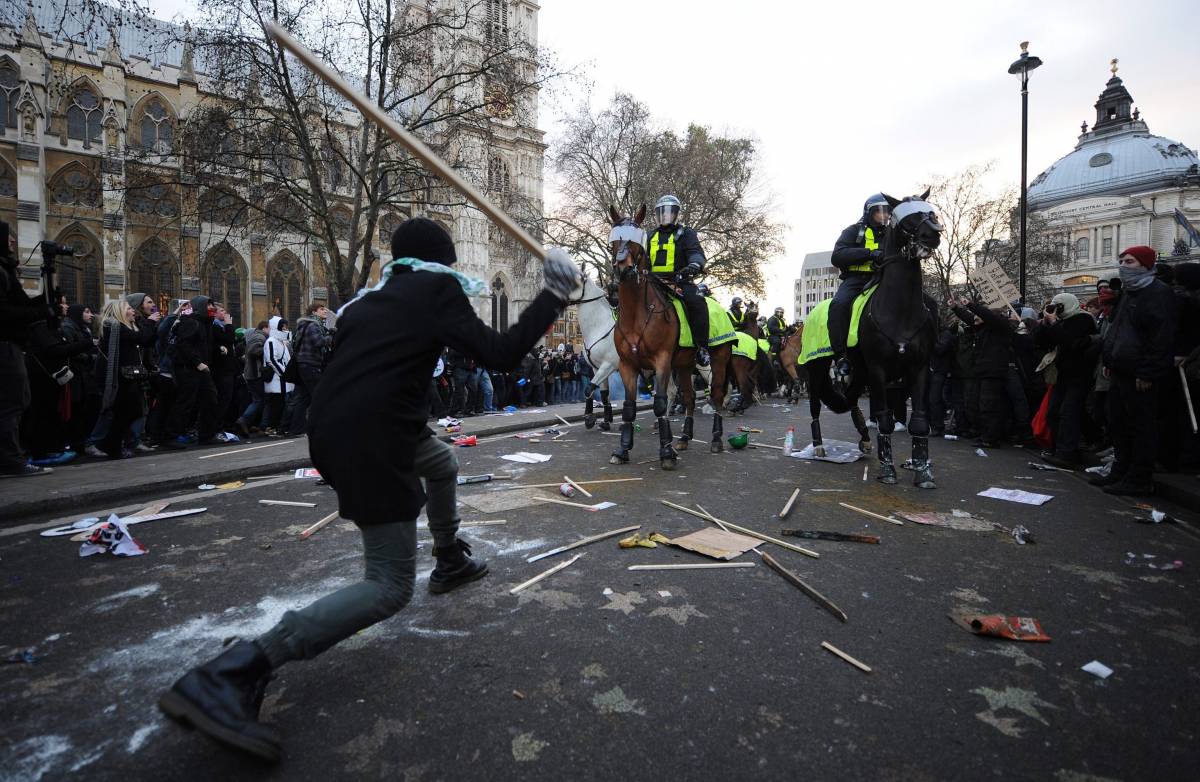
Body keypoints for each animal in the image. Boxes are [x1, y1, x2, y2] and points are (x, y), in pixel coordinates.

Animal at [566, 274, 619, 431]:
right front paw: (603, 420)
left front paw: (590, 418)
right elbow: (602, 394)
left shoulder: (609, 365)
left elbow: (588, 389)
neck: (599, 326)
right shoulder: (597, 368)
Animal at [609, 205, 729, 467]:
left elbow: (661, 403)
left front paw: (665, 452)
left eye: (636, 242)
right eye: (614, 240)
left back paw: (716, 439)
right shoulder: (627, 365)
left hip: (718, 360)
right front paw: (622, 450)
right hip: (684, 366)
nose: (624, 269)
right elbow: (629, 407)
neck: (637, 315)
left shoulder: (662, 361)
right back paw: (683, 438)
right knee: (690, 398)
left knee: (716, 394)